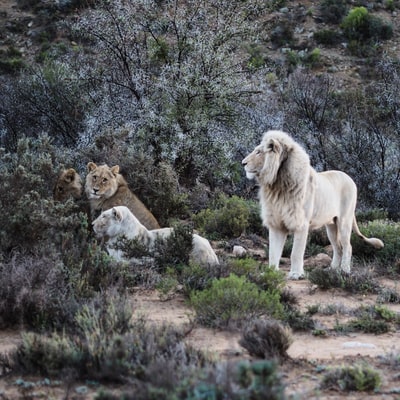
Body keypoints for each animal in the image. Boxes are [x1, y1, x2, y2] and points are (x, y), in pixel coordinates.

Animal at [242, 130, 382, 278]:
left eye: (258, 152)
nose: (243, 163)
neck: (277, 184)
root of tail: (349, 178)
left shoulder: (301, 224)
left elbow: (296, 252)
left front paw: (296, 274)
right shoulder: (276, 224)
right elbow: (273, 252)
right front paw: (270, 273)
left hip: (345, 221)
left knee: (347, 247)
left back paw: (344, 271)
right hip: (331, 226)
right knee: (337, 247)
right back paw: (331, 270)